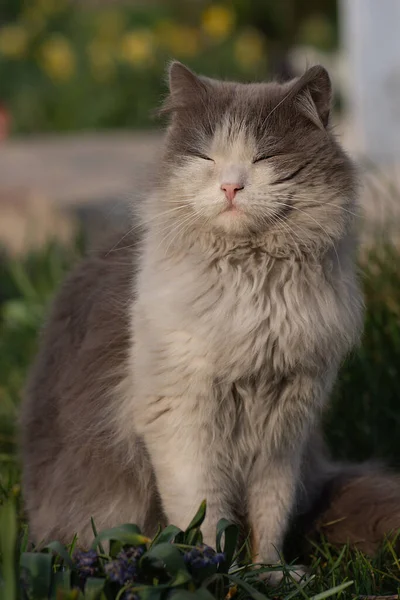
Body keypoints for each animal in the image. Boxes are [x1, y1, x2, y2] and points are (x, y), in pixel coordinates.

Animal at [19, 63, 400, 564]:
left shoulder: (285, 427)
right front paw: (219, 569)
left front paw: (270, 570)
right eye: (205, 157)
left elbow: (270, 512)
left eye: (264, 157)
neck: (253, 288)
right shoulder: (181, 417)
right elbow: (206, 513)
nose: (230, 187)